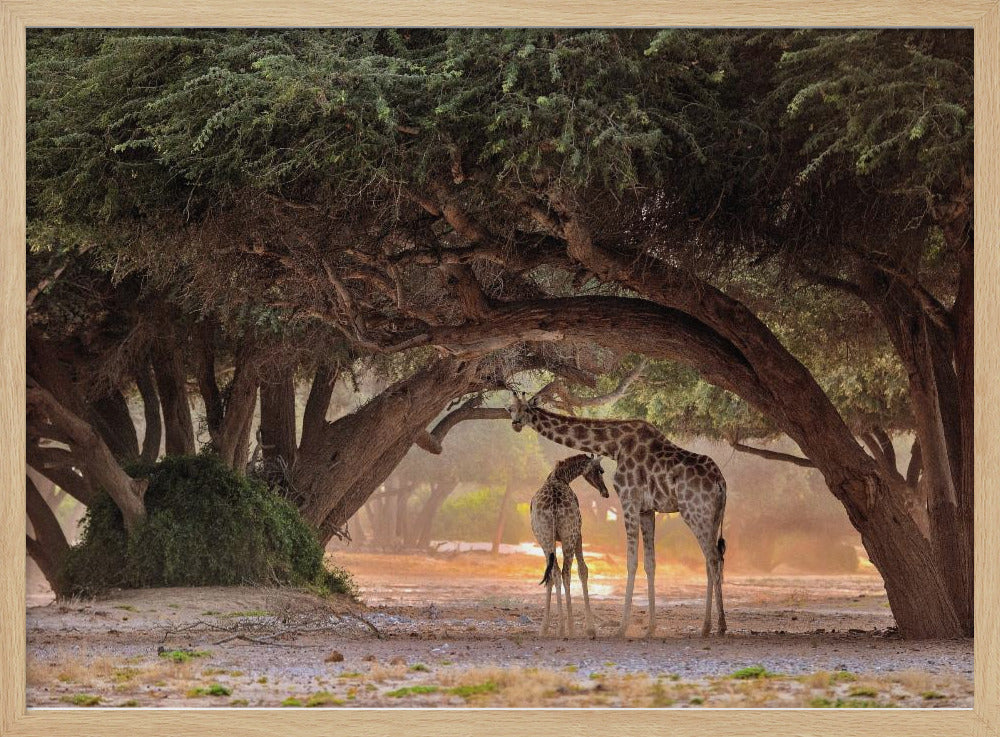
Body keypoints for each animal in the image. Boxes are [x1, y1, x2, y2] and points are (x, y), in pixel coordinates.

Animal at [530, 453, 609, 639]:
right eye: (600, 470)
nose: (605, 492)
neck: (561, 476)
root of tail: (553, 506)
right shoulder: (579, 533)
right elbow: (583, 570)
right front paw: (590, 628)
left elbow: (552, 576)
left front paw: (546, 628)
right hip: (569, 535)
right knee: (566, 573)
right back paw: (570, 628)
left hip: (545, 538)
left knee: (554, 573)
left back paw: (556, 628)